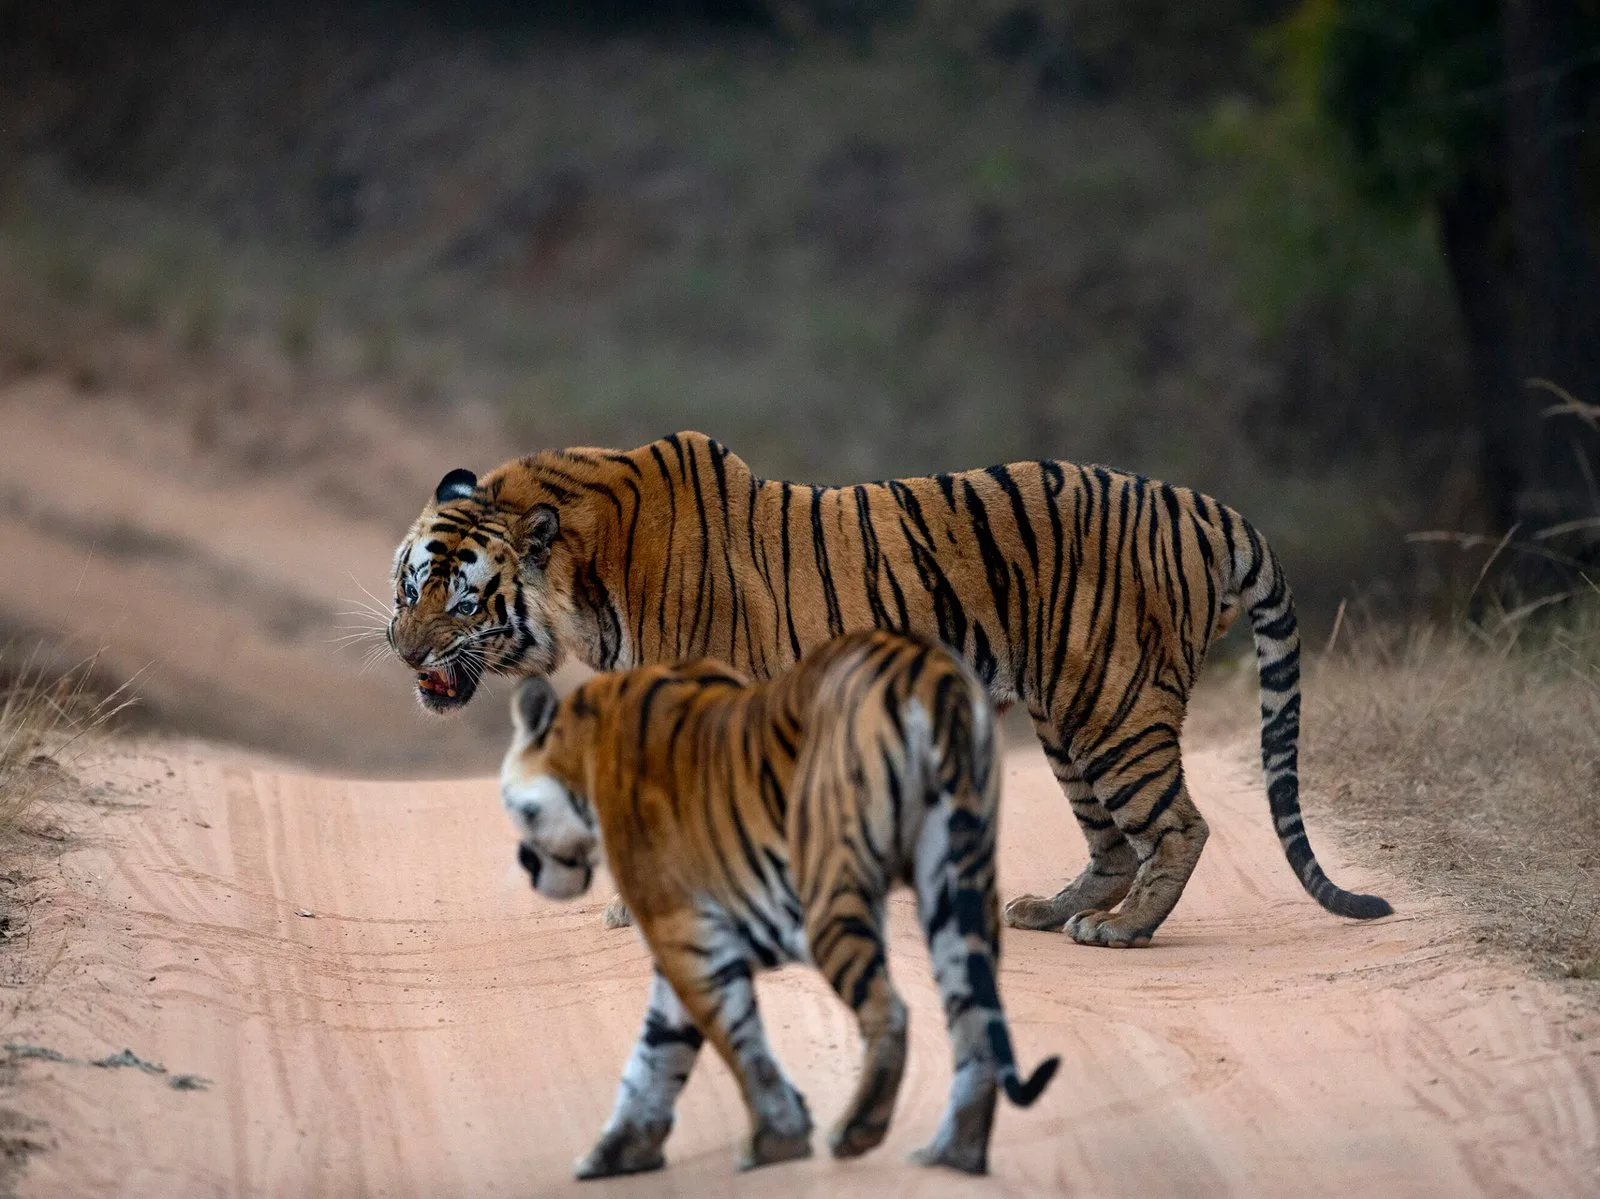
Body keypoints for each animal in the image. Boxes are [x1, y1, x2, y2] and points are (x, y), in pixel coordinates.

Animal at [391, 430, 1391, 948]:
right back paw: (1050, 910)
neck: (590, 577)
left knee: (1179, 825)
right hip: (1067, 718)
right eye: (409, 586)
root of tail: (1198, 503)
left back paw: (1122, 929)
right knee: (1112, 839)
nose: (402, 650)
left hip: (1114, 705)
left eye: (462, 597)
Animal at [500, 629, 1059, 1178]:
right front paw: (621, 1151)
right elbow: (658, 1049)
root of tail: (928, 672)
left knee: (891, 1009)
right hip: (957, 881)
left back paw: (857, 1132)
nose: (526, 864)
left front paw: (775, 1138)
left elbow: (733, 1038)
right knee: (974, 1021)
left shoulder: (680, 927)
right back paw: (953, 1154)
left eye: (518, 810)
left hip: (831, 887)